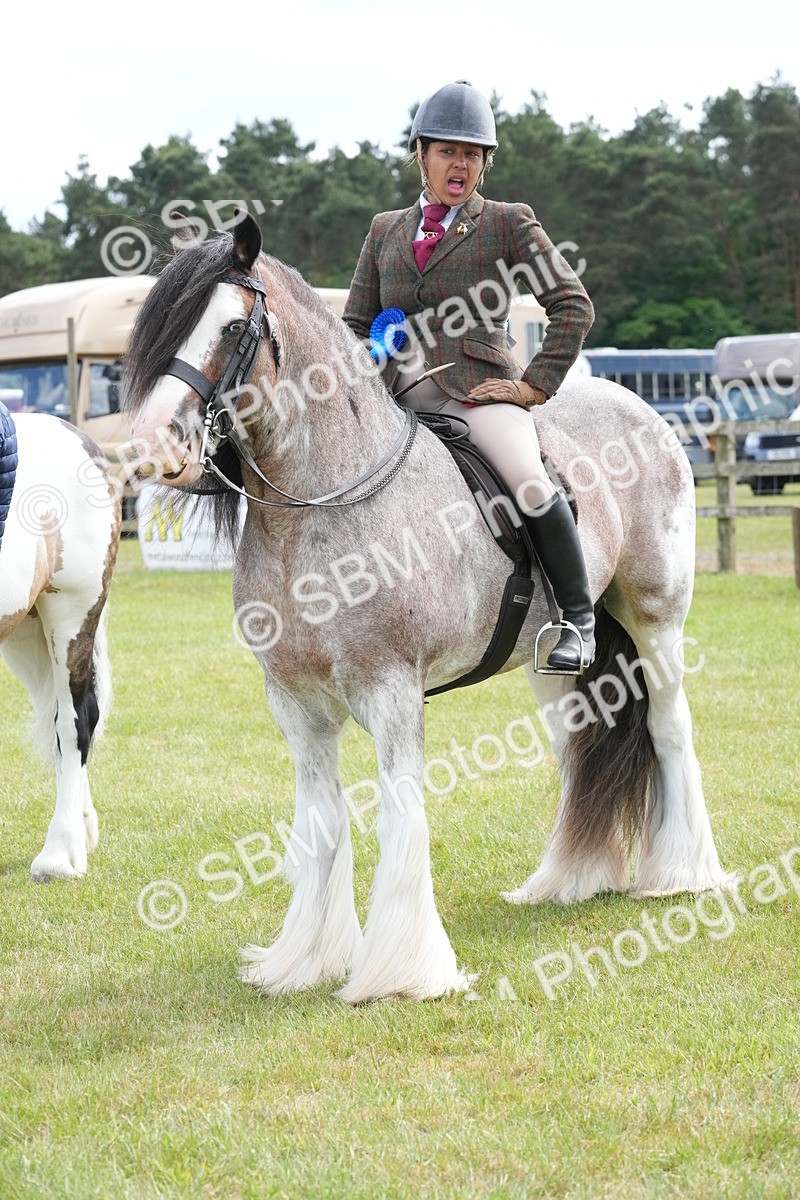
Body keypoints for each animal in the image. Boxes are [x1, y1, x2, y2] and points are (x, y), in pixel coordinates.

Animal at [122, 213, 732, 1002]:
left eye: (229, 326)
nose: (151, 444)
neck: (326, 501)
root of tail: (643, 413)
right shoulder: (294, 702)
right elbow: (321, 821)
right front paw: (305, 962)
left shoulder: (391, 692)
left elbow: (399, 817)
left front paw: (402, 971)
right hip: (554, 662)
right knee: (578, 746)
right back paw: (568, 880)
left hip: (656, 618)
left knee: (669, 727)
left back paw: (684, 875)